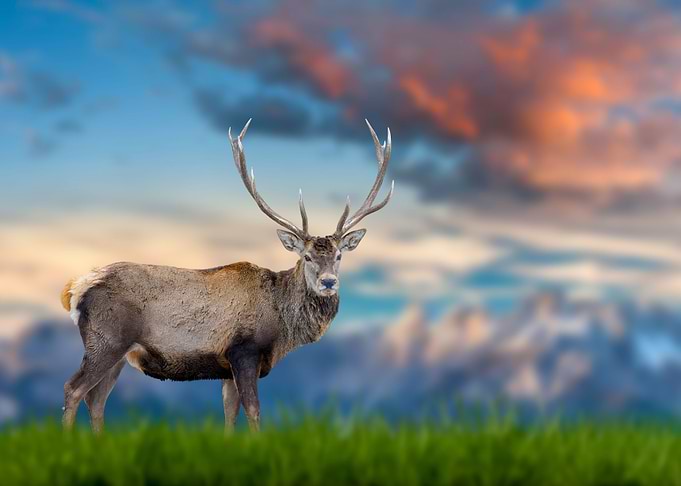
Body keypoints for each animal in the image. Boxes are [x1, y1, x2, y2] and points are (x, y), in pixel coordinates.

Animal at [59, 119, 394, 433]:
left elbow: (230, 414)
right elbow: (254, 411)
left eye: (339, 256)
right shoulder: (244, 350)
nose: (328, 282)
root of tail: (76, 290)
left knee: (96, 398)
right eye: (307, 256)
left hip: (117, 353)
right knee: (73, 389)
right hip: (107, 340)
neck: (282, 327)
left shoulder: (227, 366)